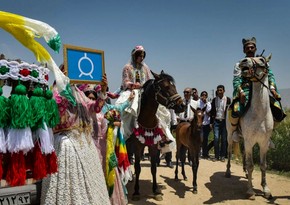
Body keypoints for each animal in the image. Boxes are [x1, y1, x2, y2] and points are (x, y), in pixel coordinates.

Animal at [128, 70, 185, 200]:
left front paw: (156, 191)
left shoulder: (153, 146)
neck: (147, 120)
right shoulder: (137, 147)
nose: (182, 106)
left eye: (174, 86)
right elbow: (137, 167)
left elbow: (153, 168)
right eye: (166, 87)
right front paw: (136, 192)